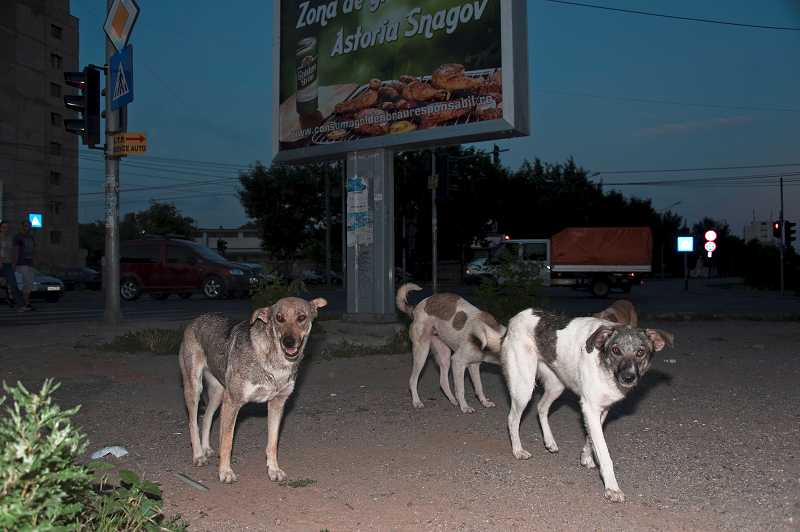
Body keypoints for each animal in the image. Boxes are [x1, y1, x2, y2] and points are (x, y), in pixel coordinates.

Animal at [178, 298, 324, 484]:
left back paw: (206, 449)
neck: (275, 362)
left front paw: (273, 470)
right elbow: (227, 442)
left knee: (206, 417)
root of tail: (196, 319)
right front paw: (225, 472)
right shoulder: (232, 403)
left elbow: (272, 444)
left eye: (301, 317)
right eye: (279, 318)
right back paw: (198, 455)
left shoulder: (277, 404)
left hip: (218, 394)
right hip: (195, 388)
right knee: (193, 422)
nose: (289, 342)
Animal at [396, 284, 504, 414]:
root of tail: (415, 310)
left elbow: (479, 387)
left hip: (444, 355)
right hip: (422, 353)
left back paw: (453, 400)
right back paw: (417, 402)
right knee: (412, 380)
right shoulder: (458, 362)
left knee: (442, 381)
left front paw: (484, 402)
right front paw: (465, 407)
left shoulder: (474, 365)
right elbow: (461, 389)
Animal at [504, 308, 672, 502]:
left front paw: (586, 457)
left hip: (556, 385)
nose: (628, 377)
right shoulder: (590, 407)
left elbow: (591, 438)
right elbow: (604, 452)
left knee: (541, 408)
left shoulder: (602, 409)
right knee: (512, 418)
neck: (604, 367)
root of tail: (517, 316)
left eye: (640, 352)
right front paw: (612, 487)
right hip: (523, 387)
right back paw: (518, 450)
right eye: (615, 350)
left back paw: (550, 441)